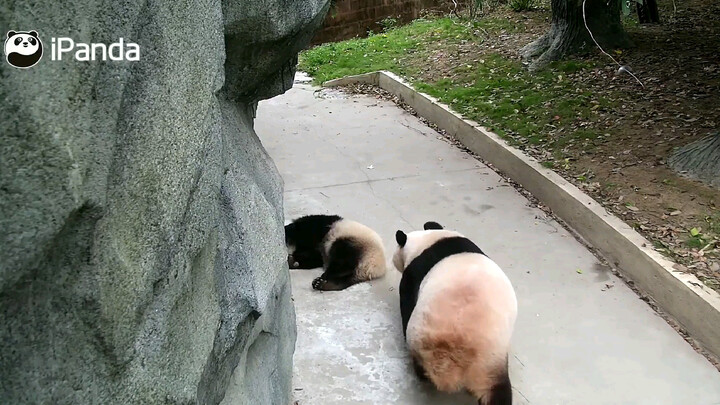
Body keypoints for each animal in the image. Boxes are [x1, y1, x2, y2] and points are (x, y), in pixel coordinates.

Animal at [392, 221, 517, 405]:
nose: (393, 260)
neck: (429, 240)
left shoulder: (414, 272)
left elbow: (406, 298)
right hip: (491, 364)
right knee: (500, 393)